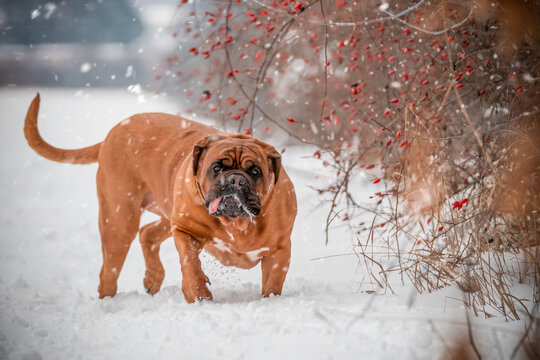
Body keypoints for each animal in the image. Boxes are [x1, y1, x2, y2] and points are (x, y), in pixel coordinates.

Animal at [23, 94, 298, 302]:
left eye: (255, 171)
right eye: (217, 168)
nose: (236, 180)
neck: (237, 224)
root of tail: (113, 132)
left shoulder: (280, 250)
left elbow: (273, 284)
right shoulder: (185, 230)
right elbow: (190, 264)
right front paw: (199, 295)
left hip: (162, 212)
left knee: (147, 234)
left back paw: (152, 278)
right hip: (120, 219)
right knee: (111, 268)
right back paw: (108, 299)